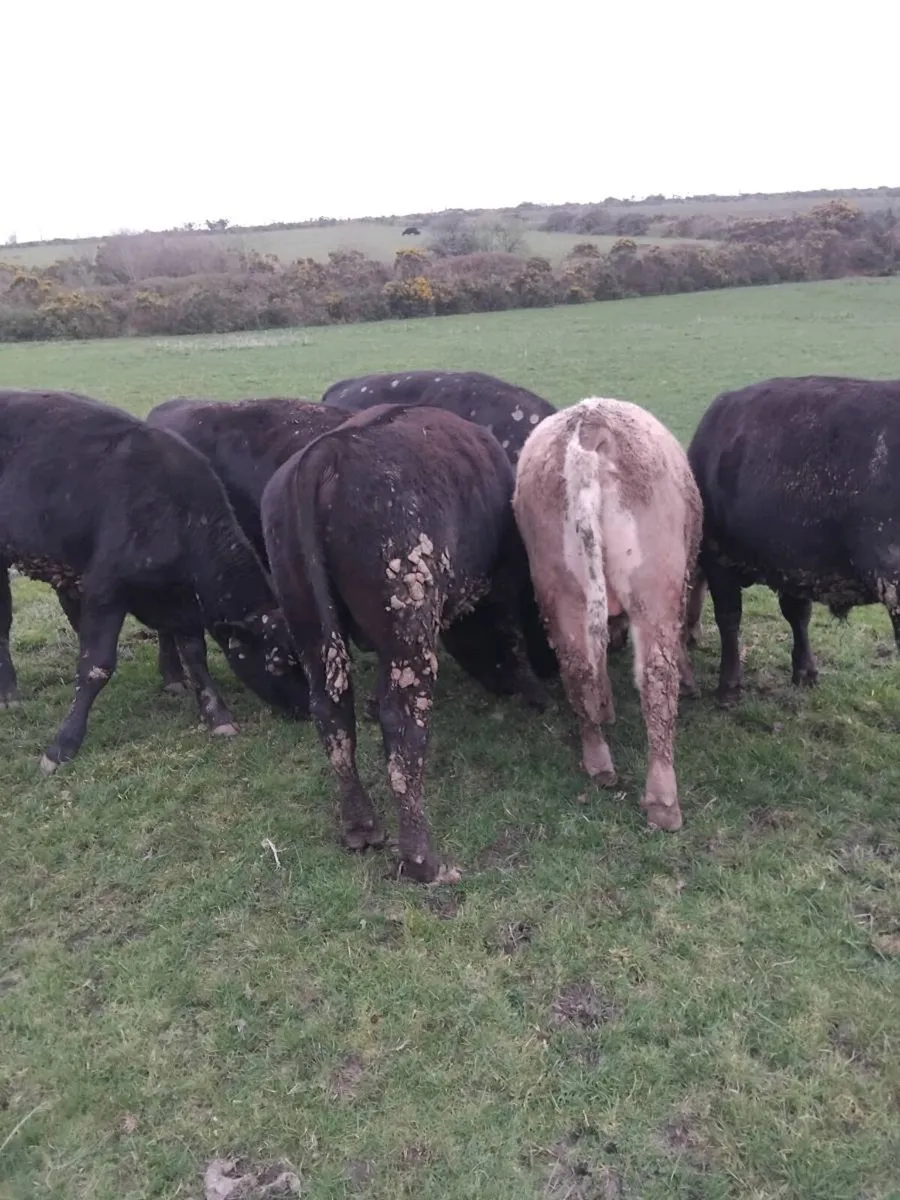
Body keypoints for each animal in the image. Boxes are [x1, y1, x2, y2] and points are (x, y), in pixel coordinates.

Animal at [0, 389, 309, 773]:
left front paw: (217, 715)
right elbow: (95, 665)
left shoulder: (183, 601)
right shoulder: (106, 588)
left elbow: (195, 654)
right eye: (278, 662)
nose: (308, 709)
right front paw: (62, 746)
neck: (176, 513)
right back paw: (9, 693)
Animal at [260, 403, 548, 884]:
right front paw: (533, 692)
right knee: (404, 730)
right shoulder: (503, 585)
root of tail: (330, 452)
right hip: (409, 639)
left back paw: (360, 826)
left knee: (332, 715)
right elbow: (511, 639)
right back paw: (421, 860)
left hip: (310, 629)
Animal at [513, 397, 702, 833]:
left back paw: (598, 760)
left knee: (578, 667)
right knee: (656, 679)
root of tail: (590, 424)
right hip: (654, 590)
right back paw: (663, 801)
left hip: (560, 589)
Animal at [687, 374, 900, 705]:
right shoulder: (793, 563)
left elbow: (729, 617)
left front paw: (729, 685)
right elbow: (798, 615)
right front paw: (806, 671)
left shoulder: (717, 556)